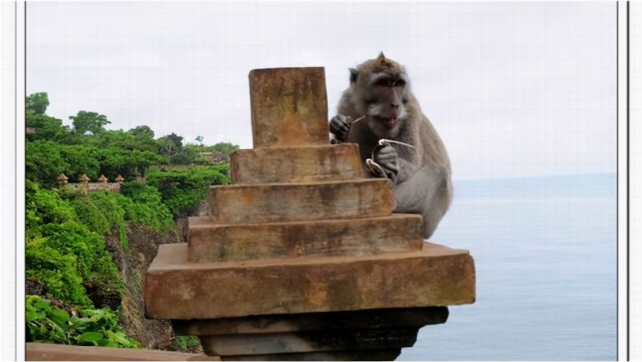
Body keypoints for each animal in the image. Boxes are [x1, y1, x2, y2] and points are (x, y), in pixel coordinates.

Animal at [330, 53, 450, 240]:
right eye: (384, 84)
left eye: (398, 84)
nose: (395, 104)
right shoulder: (347, 103)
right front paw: (340, 130)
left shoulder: (410, 110)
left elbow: (411, 164)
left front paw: (386, 159)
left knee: (439, 175)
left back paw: (393, 203)